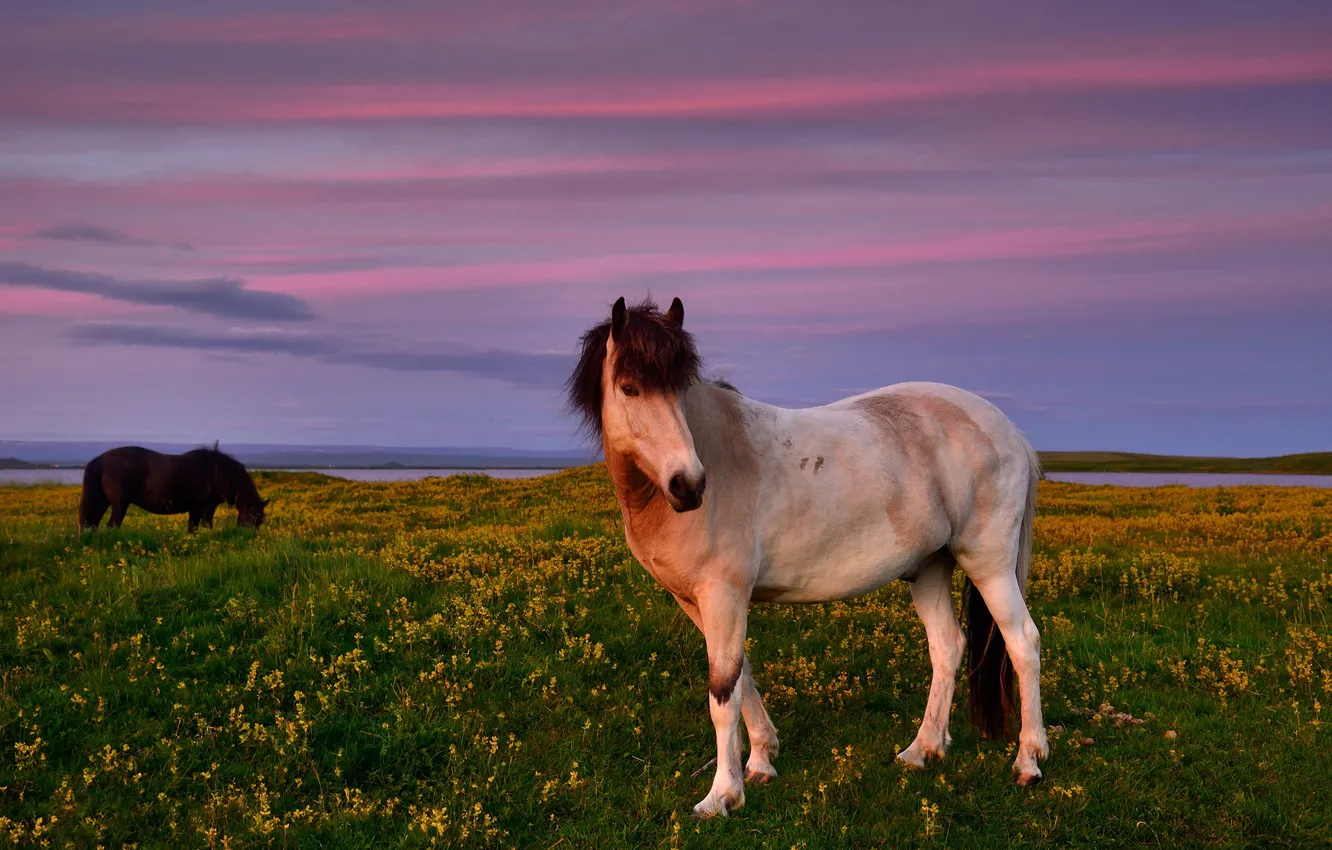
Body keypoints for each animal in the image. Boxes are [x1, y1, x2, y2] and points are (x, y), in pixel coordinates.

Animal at [78, 447, 267, 532]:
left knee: (91, 523)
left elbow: (193, 529)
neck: (217, 473)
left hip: (102, 501)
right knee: (112, 525)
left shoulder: (195, 509)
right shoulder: (207, 507)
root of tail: (101, 459)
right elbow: (207, 526)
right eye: (252, 516)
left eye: (261, 520)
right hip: (119, 504)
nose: (250, 538)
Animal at [567, 298, 1044, 820]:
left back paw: (1028, 762)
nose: (688, 485)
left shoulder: (724, 596)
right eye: (629, 388)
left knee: (1023, 643)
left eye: (678, 388)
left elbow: (723, 692)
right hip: (930, 567)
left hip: (989, 564)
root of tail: (1012, 433)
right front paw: (761, 760)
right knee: (948, 647)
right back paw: (922, 750)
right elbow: (741, 677)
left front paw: (722, 795)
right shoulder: (697, 601)